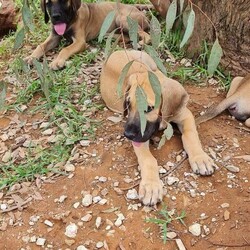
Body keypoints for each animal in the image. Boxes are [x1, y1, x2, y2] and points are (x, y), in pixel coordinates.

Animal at [99, 49, 215, 206]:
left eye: (148, 108)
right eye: (128, 104)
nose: (127, 134)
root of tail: (115, 51)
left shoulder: (184, 115)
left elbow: (191, 136)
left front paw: (200, 158)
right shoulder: (140, 137)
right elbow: (148, 159)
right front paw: (151, 186)